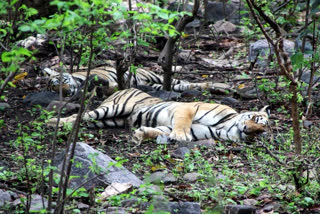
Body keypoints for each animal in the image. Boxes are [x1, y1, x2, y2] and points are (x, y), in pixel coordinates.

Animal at [48, 87, 270, 144]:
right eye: (254, 119)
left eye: (259, 131)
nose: (248, 130)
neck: (228, 127)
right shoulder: (188, 108)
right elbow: (182, 123)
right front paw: (180, 136)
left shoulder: (197, 130)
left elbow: (159, 130)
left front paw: (140, 134)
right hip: (113, 108)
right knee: (84, 114)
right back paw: (53, 122)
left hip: (108, 122)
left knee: (87, 121)